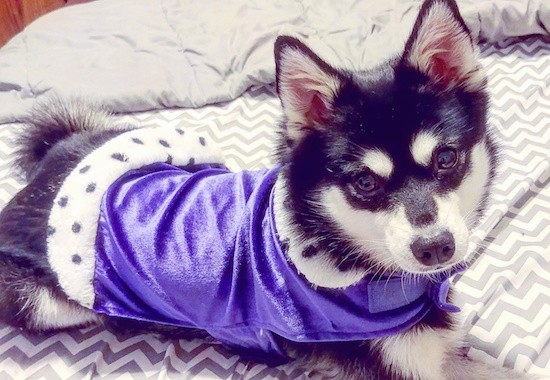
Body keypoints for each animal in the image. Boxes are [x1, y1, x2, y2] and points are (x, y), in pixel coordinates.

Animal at [0, 0, 536, 378]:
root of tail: (49, 170)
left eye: (446, 159)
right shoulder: (405, 363)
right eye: (364, 182)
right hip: (42, 301)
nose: (435, 248)